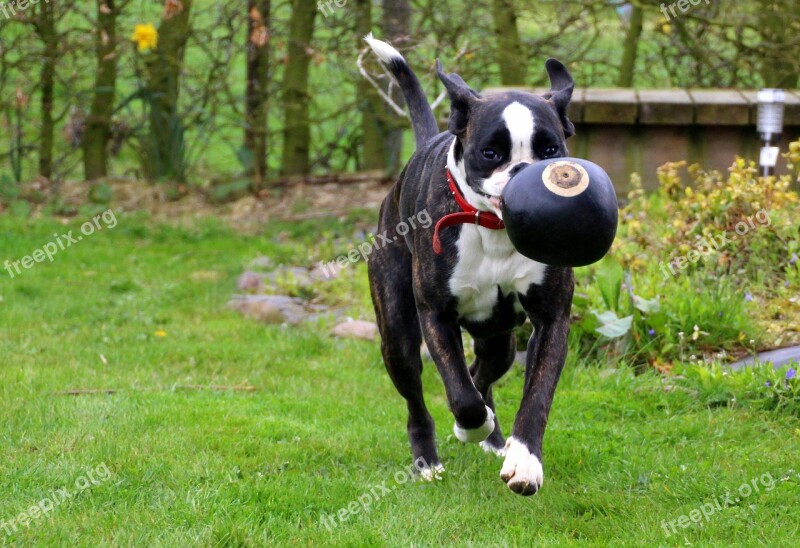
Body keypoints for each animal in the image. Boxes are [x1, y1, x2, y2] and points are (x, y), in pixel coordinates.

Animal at [366, 34, 580, 496]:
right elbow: (460, 395)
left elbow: (535, 395)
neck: (494, 229)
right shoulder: (436, 316)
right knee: (420, 400)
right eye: (490, 152)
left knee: (483, 372)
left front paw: (525, 461)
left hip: (500, 341)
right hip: (398, 336)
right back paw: (429, 460)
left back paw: (495, 438)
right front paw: (470, 426)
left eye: (551, 150)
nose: (524, 172)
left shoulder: (551, 319)